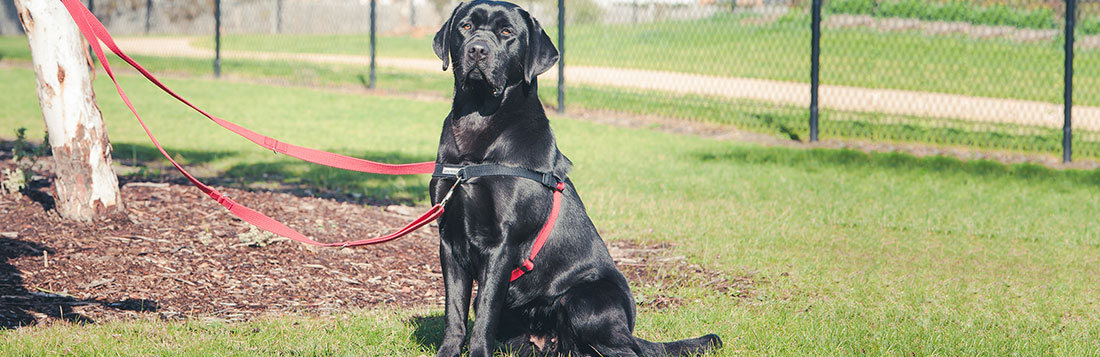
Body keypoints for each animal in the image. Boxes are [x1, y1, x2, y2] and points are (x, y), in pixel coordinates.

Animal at [426, 1, 721, 353]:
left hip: (585, 300)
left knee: (625, 349)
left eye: (507, 32)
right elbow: (454, 311)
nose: (477, 50)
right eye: (466, 27)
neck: (479, 121)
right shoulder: (449, 239)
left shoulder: (502, 244)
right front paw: (447, 351)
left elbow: (484, 314)